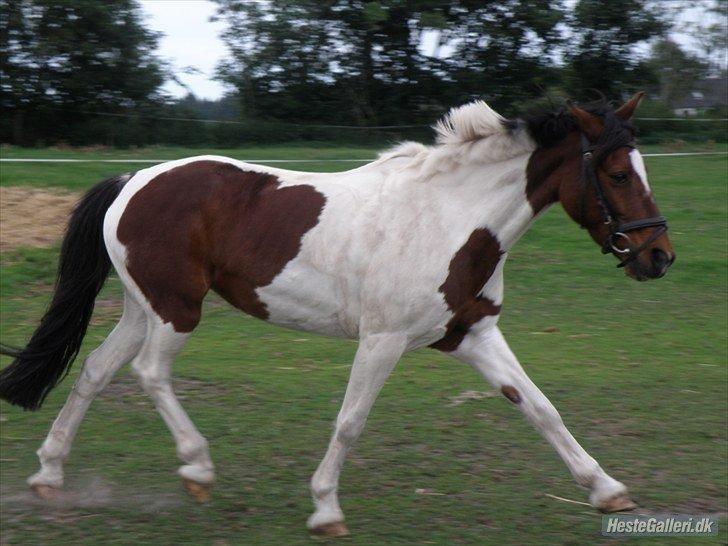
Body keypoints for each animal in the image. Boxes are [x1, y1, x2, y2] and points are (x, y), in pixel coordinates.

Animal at [0, 92, 676, 532]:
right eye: (618, 173)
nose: (659, 256)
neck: (452, 220)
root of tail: (133, 181)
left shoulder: (473, 333)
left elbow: (539, 407)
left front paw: (608, 491)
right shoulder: (382, 339)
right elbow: (350, 422)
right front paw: (326, 509)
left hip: (144, 308)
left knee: (95, 371)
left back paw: (49, 477)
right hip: (177, 310)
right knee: (149, 374)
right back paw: (197, 469)